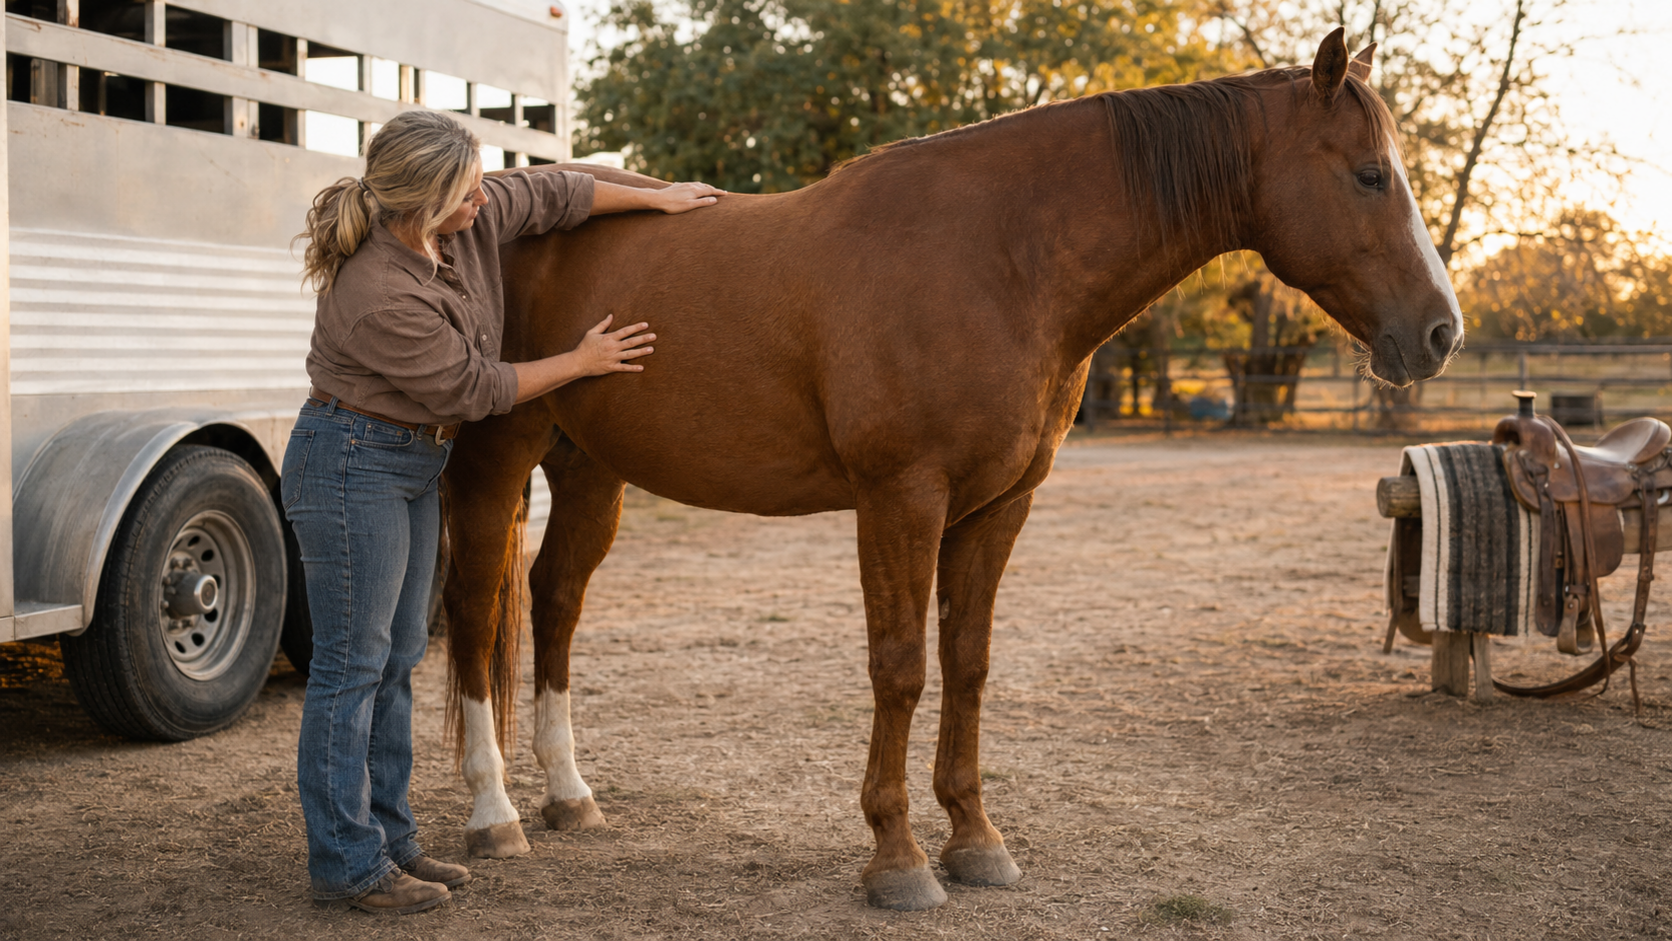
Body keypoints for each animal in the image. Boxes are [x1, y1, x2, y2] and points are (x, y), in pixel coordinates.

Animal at [439, 29, 1461, 911]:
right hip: (497, 458)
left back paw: (569, 794)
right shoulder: (902, 498)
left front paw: (975, 840)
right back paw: (494, 813)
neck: (999, 257)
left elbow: (968, 663)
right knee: (477, 613)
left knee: (554, 602)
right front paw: (897, 858)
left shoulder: (997, 506)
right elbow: (900, 666)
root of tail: (488, 207)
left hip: (589, 470)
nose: (1440, 332)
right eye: (1370, 175)